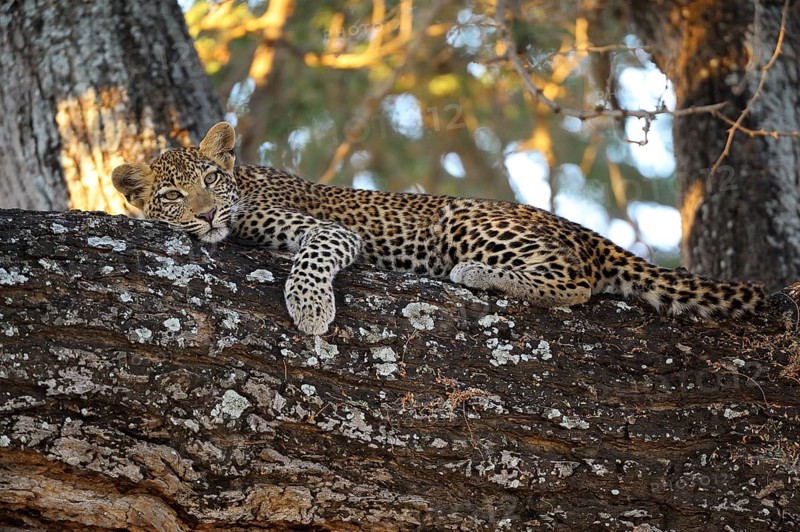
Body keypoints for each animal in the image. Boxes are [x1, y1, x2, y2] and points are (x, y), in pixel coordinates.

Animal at [112, 121, 766, 335]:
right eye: (172, 195)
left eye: (211, 181)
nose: (206, 214)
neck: (244, 181)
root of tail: (580, 228)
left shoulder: (324, 232)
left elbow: (315, 255)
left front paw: (312, 309)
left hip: (469, 218)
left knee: (577, 280)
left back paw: (476, 273)